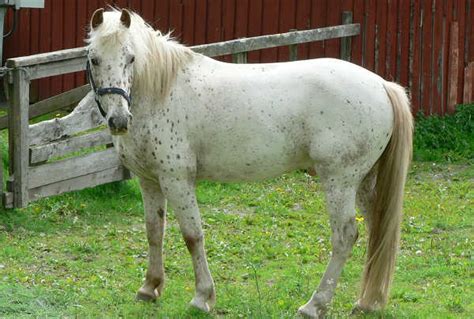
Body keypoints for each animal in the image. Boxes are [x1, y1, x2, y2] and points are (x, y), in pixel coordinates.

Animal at [87, 8, 412, 318]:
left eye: (131, 58)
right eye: (94, 59)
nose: (118, 120)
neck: (162, 90)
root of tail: (382, 85)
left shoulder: (177, 180)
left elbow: (192, 236)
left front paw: (202, 298)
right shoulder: (150, 181)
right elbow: (154, 232)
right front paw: (149, 288)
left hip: (339, 181)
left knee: (345, 236)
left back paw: (314, 305)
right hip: (364, 182)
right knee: (377, 232)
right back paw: (368, 303)